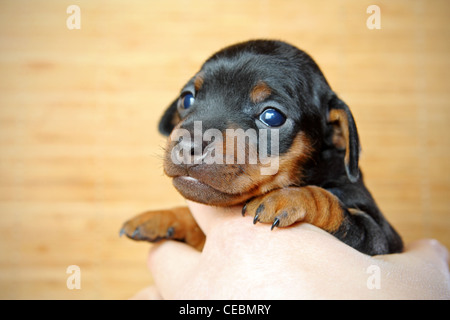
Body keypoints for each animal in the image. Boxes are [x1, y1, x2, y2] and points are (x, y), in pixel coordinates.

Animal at [120, 39, 404, 255]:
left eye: (272, 116)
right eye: (187, 99)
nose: (189, 145)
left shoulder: (380, 238)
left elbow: (329, 203)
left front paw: (288, 197)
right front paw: (164, 216)